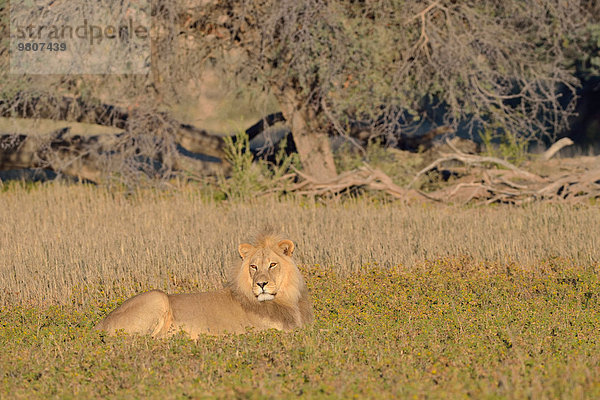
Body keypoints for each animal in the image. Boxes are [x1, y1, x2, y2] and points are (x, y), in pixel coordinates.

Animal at [94, 231, 314, 338]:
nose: (261, 284)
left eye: (272, 264)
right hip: (157, 296)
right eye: (253, 266)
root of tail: (98, 325)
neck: (285, 300)